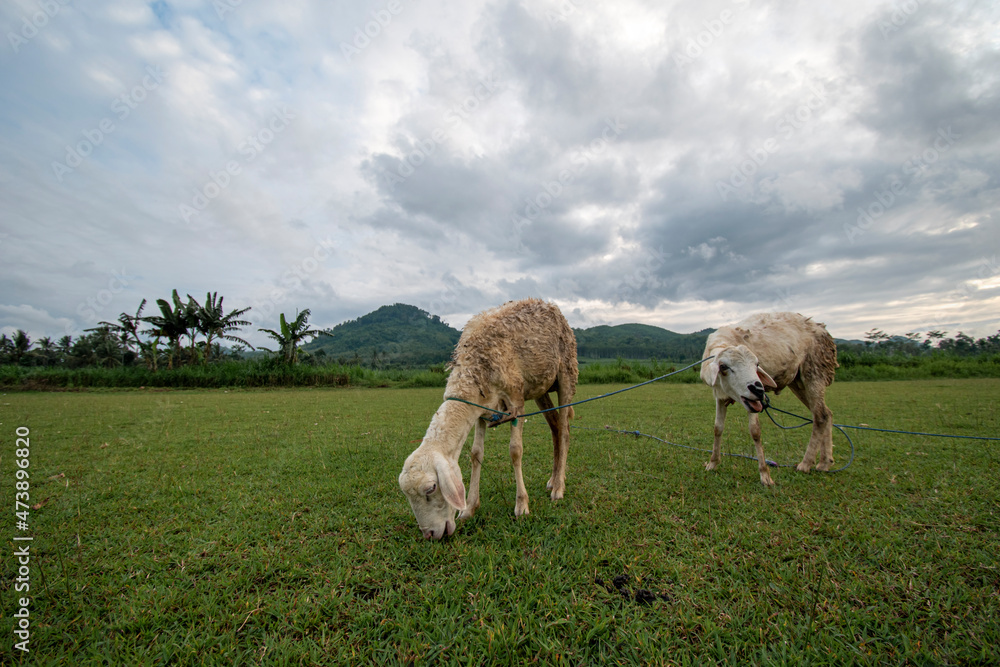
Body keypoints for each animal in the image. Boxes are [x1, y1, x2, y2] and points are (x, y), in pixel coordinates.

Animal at [398, 298, 578, 540]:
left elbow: (515, 451)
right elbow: (476, 454)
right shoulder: (482, 408)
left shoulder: (515, 399)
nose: (430, 535)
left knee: (565, 430)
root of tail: (551, 306)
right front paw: (469, 508)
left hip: (566, 372)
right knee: (555, 427)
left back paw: (559, 487)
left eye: (431, 488)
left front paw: (522, 505)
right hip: (541, 388)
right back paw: (553, 479)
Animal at [700, 312, 839, 486]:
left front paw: (765, 475)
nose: (759, 390)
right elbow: (718, 428)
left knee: (820, 416)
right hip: (797, 382)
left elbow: (755, 431)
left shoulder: (752, 402)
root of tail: (822, 328)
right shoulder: (720, 395)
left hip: (815, 369)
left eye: (757, 364)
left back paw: (806, 464)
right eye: (724, 366)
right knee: (826, 413)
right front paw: (712, 463)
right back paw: (824, 463)